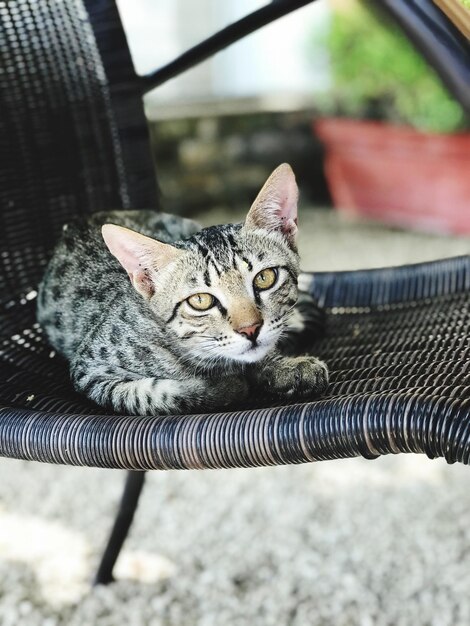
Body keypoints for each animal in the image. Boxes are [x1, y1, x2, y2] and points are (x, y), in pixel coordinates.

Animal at [37, 163, 326, 412]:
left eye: (264, 278)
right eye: (200, 301)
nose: (250, 329)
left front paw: (285, 367)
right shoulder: (90, 370)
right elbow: (154, 395)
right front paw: (227, 385)